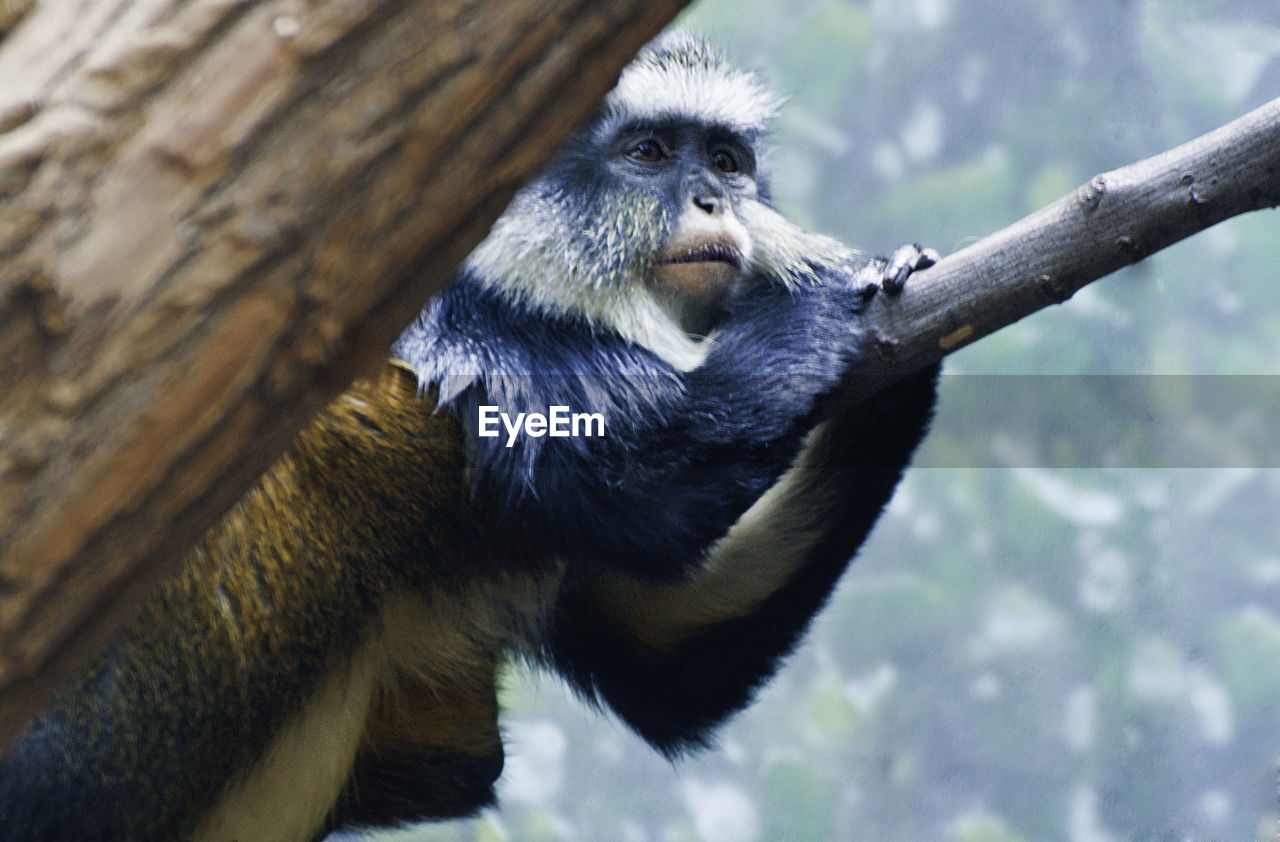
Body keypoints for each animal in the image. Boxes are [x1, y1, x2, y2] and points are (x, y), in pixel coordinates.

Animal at [0, 32, 942, 839]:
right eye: (646, 155)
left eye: (724, 162)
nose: (714, 200)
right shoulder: (464, 332)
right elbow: (632, 490)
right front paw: (818, 312)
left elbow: (657, 651)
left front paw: (905, 330)